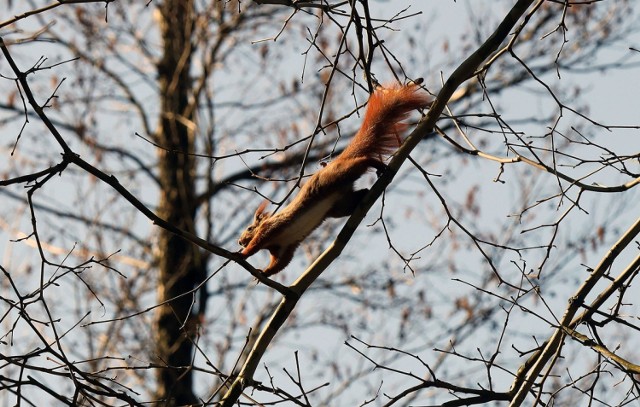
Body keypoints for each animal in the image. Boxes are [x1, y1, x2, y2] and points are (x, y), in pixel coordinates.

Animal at [239, 84, 430, 278]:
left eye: (249, 228)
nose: (239, 242)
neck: (272, 244)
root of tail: (335, 163)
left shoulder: (271, 228)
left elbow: (258, 243)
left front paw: (242, 254)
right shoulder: (284, 248)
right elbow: (280, 264)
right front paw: (263, 273)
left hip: (340, 174)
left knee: (361, 162)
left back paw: (376, 165)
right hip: (340, 206)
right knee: (355, 197)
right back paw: (364, 196)